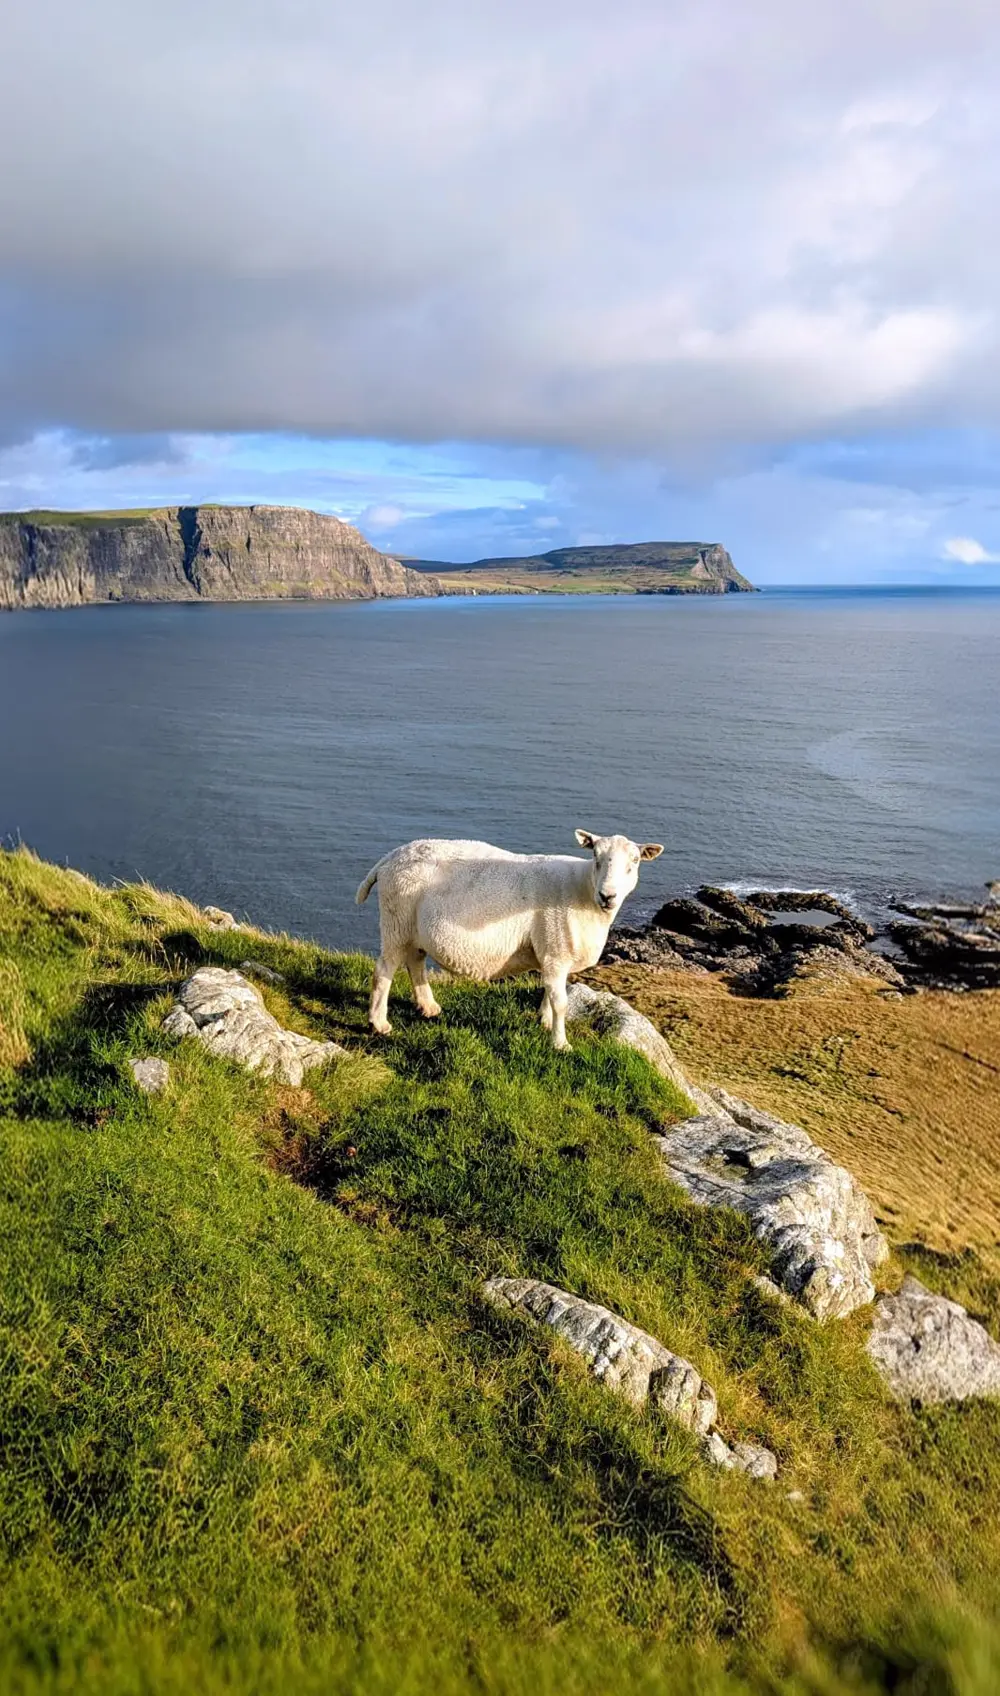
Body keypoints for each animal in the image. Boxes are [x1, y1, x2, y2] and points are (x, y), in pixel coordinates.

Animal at [355, 830, 664, 1050]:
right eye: (596, 858)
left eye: (634, 862)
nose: (608, 895)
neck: (583, 890)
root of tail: (390, 857)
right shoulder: (556, 950)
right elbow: (561, 1002)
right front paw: (560, 1044)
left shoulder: (551, 952)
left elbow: (549, 992)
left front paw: (544, 1021)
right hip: (396, 921)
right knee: (384, 970)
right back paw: (379, 1023)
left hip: (413, 928)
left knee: (415, 961)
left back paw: (428, 1007)